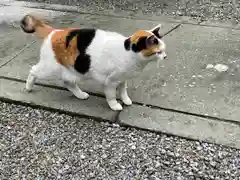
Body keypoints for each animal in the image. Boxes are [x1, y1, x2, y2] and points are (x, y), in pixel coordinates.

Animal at [20, 14, 167, 111]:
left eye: (163, 50)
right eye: (158, 52)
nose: (165, 56)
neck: (128, 53)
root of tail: (55, 31)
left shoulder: (122, 79)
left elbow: (123, 91)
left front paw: (126, 100)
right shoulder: (111, 81)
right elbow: (111, 95)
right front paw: (115, 106)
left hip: (73, 70)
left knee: (68, 82)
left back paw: (80, 95)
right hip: (49, 68)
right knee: (33, 70)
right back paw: (28, 87)